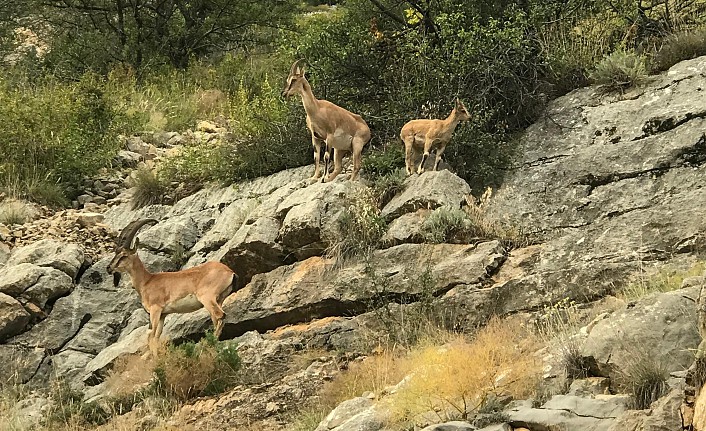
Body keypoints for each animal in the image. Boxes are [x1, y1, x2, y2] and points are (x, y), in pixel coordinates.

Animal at [107, 219, 238, 358]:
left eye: (123, 255)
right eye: (116, 253)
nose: (109, 268)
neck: (147, 281)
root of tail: (230, 272)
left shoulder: (155, 309)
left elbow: (151, 336)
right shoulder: (163, 314)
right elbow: (157, 336)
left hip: (207, 298)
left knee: (220, 316)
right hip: (219, 299)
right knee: (217, 318)